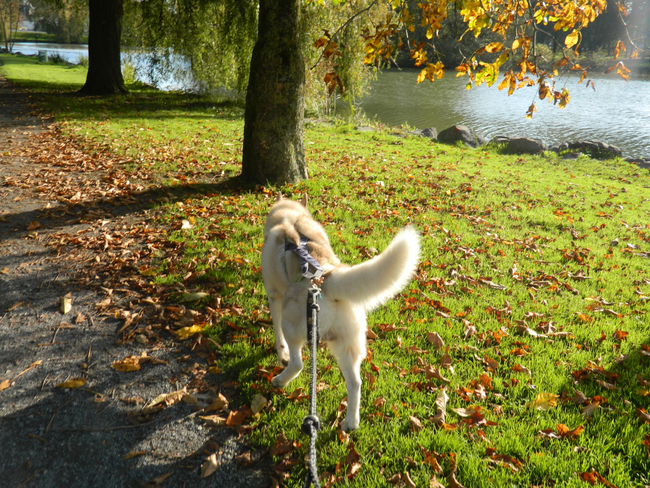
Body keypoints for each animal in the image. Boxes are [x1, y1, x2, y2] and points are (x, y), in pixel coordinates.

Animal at [262, 194, 420, 430]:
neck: (291, 218)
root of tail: (327, 277)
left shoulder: (274, 297)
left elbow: (278, 339)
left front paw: (281, 355)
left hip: (293, 325)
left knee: (298, 363)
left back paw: (279, 380)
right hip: (346, 345)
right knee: (356, 382)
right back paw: (351, 422)